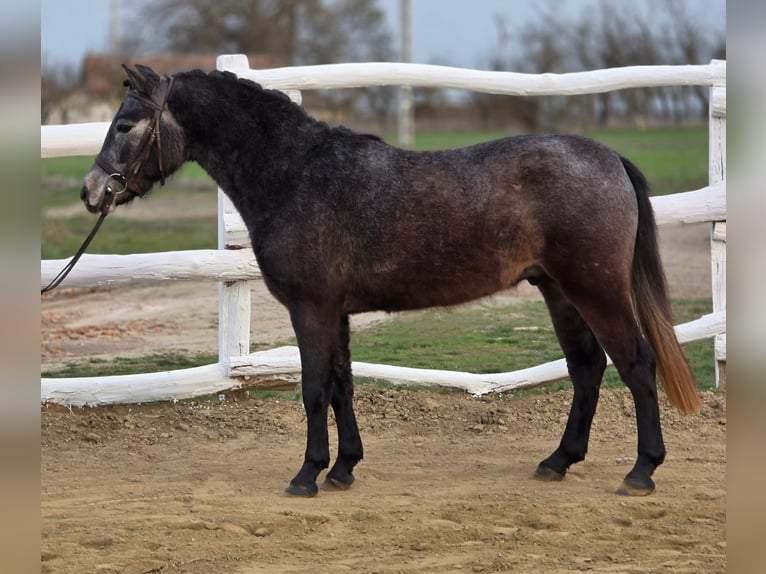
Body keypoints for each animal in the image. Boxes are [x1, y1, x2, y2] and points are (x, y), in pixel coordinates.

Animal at [81, 64, 702, 498]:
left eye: (126, 124)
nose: (91, 191)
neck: (298, 174)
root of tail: (608, 158)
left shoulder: (310, 309)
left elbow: (313, 389)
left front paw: (306, 475)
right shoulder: (334, 312)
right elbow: (341, 385)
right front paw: (343, 469)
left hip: (595, 290)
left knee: (636, 365)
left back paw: (641, 472)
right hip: (558, 291)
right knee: (587, 369)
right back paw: (557, 462)